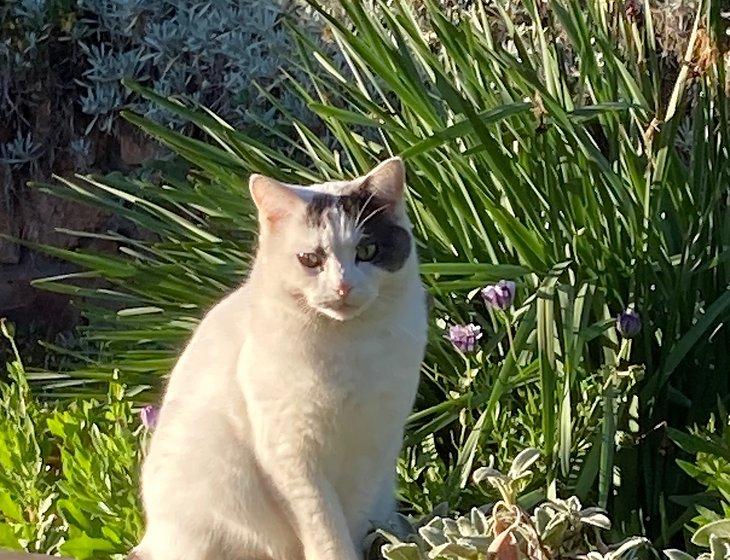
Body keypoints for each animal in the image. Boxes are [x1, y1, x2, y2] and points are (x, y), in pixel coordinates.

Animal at [134, 158, 426, 560]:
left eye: (367, 250)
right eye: (310, 260)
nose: (343, 287)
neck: (348, 347)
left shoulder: (373, 448)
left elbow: (351, 520)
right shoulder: (292, 455)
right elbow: (325, 528)